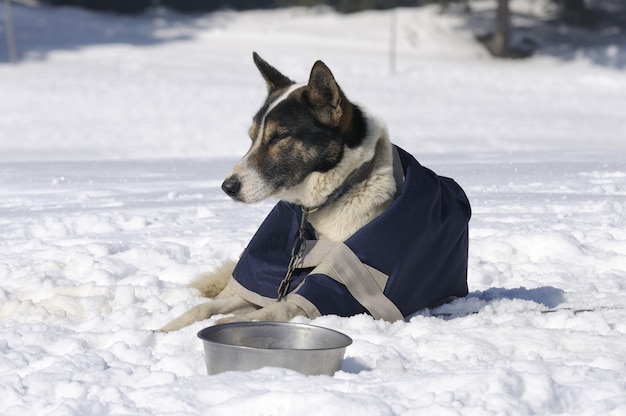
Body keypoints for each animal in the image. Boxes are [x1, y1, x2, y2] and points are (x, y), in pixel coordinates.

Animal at [161, 52, 468, 332]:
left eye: (279, 136)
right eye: (252, 137)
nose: (228, 187)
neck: (337, 195)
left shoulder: (321, 292)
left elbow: (269, 312)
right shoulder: (270, 286)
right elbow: (209, 307)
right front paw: (165, 329)